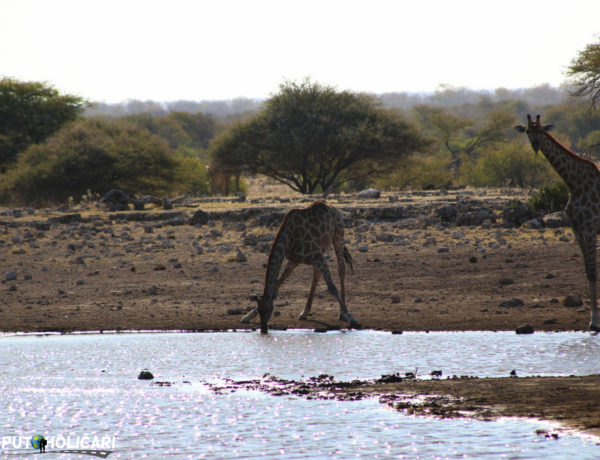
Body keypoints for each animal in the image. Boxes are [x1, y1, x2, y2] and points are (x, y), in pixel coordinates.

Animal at [240, 199, 360, 332]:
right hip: (321, 250)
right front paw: (248, 316)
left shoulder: (318, 255)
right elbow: (278, 282)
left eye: (268, 310)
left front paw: (351, 318)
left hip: (338, 235)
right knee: (317, 274)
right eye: (260, 311)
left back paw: (342, 313)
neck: (289, 239)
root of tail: (331, 205)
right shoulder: (295, 260)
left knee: (341, 269)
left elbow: (331, 287)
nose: (264, 329)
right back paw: (305, 312)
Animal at [512, 115, 600, 330]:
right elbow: (588, 272)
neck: (574, 183)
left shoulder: (589, 228)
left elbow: (593, 272)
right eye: (528, 131)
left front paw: (595, 321)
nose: (535, 145)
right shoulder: (578, 230)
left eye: (542, 131)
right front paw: (592, 319)